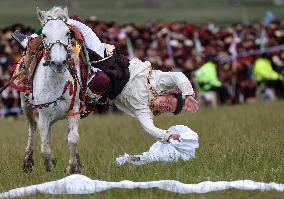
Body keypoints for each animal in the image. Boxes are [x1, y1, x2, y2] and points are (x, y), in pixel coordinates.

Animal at [19, 6, 81, 174]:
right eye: (45, 34)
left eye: (67, 33)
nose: (58, 63)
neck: (56, 82)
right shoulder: (44, 114)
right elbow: (45, 147)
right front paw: (50, 164)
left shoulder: (74, 110)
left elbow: (73, 138)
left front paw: (72, 167)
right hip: (25, 105)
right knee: (32, 127)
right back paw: (27, 161)